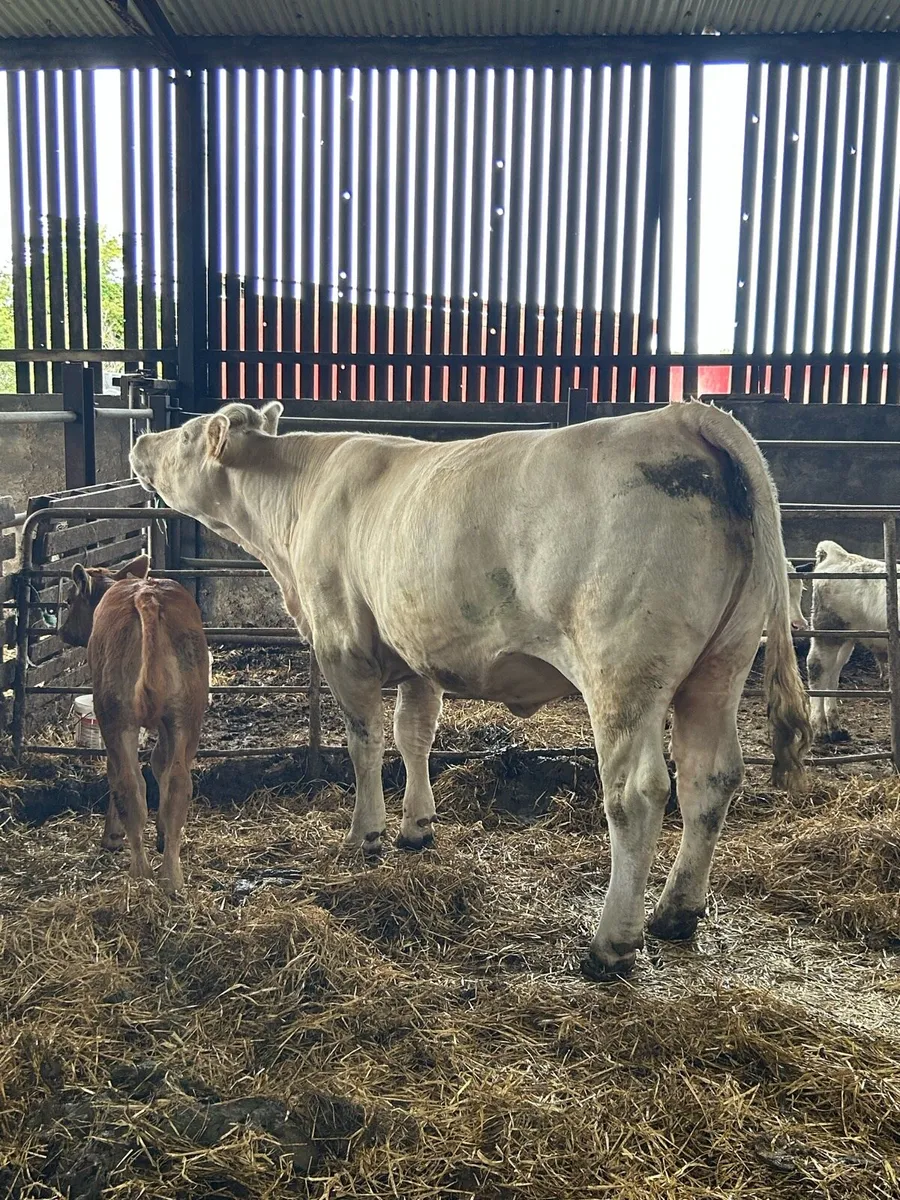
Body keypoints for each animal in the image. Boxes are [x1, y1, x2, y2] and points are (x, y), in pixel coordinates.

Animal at [60, 554, 209, 893]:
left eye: (69, 600)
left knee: (128, 783)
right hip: (186, 714)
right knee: (177, 783)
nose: (62, 631)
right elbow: (159, 764)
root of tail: (146, 595)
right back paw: (171, 878)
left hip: (116, 716)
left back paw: (140, 874)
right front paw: (162, 836)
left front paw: (112, 836)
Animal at [130, 399, 809, 978]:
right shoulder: (416, 651)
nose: (140, 441)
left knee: (638, 791)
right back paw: (677, 912)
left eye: (186, 435)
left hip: (625, 666)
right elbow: (414, 736)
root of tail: (686, 415)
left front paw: (365, 835)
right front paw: (417, 827)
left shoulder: (343, 645)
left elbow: (365, 743)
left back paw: (612, 942)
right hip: (722, 664)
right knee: (710, 777)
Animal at [806, 539, 893, 742]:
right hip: (828, 631)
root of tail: (841, 556)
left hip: (846, 637)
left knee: (832, 672)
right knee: (818, 668)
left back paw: (835, 728)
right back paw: (820, 727)